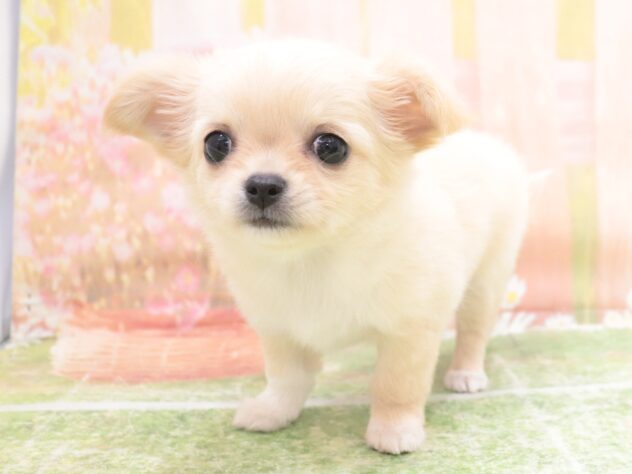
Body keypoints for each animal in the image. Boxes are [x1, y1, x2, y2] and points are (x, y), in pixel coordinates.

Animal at [104, 39, 529, 454]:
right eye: (216, 144)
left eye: (331, 147)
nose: (262, 185)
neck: (310, 259)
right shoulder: (279, 328)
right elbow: (286, 377)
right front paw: (274, 411)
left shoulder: (409, 328)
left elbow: (396, 384)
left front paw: (394, 429)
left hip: (486, 280)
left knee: (473, 332)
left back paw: (465, 373)